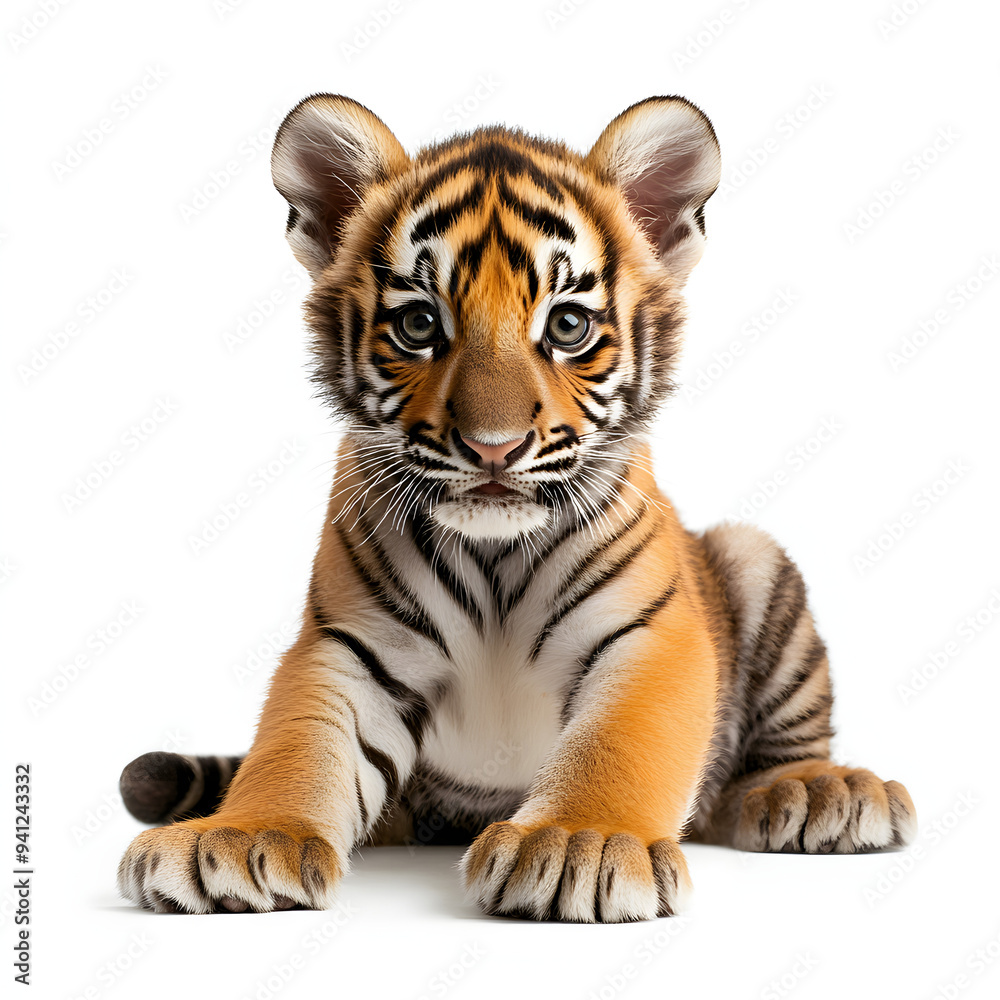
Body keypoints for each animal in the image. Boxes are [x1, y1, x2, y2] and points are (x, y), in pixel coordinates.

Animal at [116, 94, 916, 922]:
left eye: (567, 326)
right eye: (419, 324)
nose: (493, 448)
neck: (495, 553)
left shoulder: (652, 634)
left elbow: (619, 741)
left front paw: (577, 843)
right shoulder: (348, 647)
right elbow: (294, 744)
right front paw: (241, 837)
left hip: (755, 560)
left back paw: (815, 792)